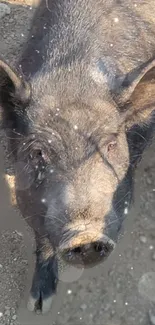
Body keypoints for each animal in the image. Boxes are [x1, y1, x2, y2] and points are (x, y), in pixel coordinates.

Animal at [0, 0, 155, 314]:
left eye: (110, 144)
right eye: (38, 152)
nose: (85, 234)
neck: (73, 77)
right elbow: (42, 236)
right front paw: (39, 305)